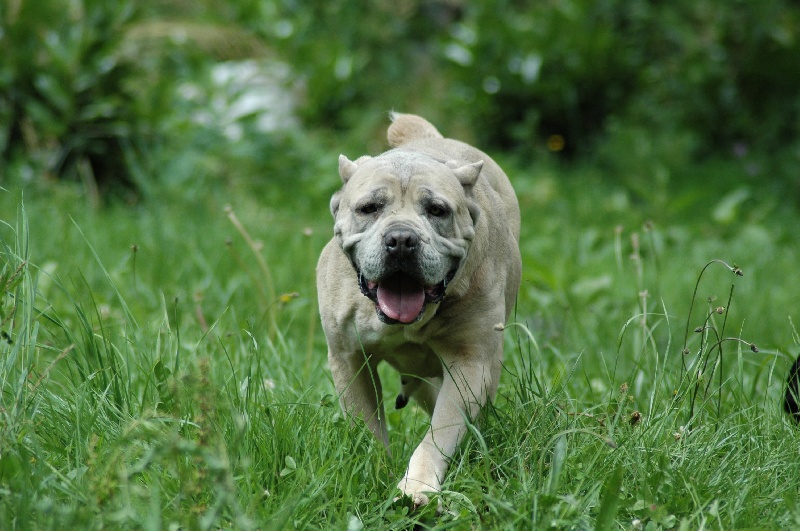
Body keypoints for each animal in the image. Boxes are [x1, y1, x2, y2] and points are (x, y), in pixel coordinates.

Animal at [316, 113, 521, 508]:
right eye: (369, 208)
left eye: (437, 210)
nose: (401, 239)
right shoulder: (350, 360)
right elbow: (366, 425)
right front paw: (377, 472)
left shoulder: (469, 364)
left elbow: (440, 432)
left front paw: (417, 487)